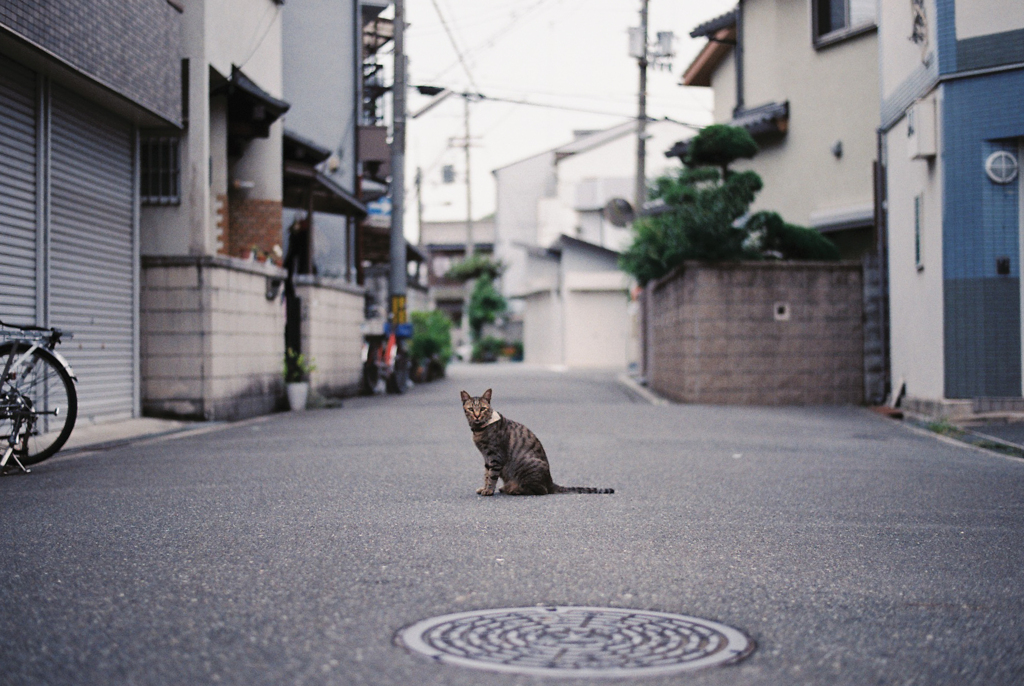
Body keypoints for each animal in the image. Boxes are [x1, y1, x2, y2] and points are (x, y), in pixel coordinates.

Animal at [460, 389, 610, 497]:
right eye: (471, 409)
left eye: (483, 409)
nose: (477, 415)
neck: (480, 430)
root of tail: (550, 482)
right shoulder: (487, 458)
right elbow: (486, 475)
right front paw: (484, 487)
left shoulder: (495, 457)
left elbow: (491, 477)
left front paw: (489, 490)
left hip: (528, 467)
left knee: (541, 490)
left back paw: (515, 490)